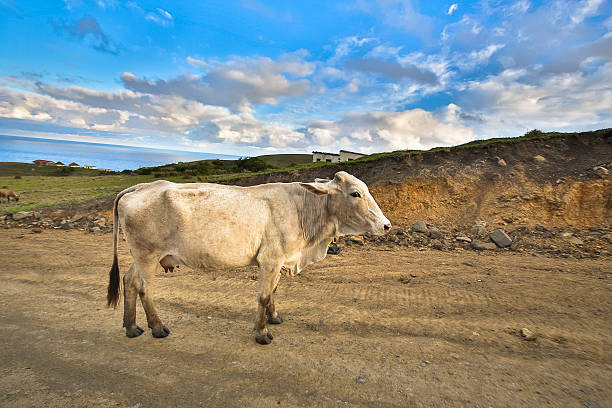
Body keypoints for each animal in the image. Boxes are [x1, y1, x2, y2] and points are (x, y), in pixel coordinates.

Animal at [107, 171, 390, 342]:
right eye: (355, 193)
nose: (386, 225)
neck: (303, 209)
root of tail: (142, 187)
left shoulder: (279, 261)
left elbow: (274, 291)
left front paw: (274, 318)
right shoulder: (270, 260)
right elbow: (264, 296)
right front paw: (262, 332)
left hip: (141, 256)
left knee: (129, 281)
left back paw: (131, 327)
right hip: (147, 255)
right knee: (144, 288)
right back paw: (157, 328)